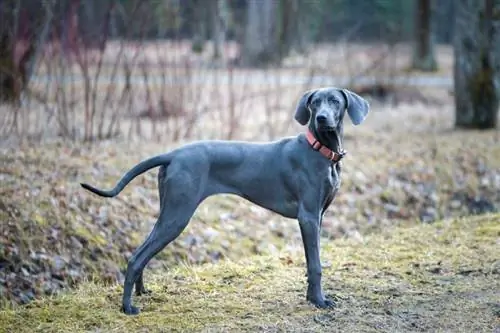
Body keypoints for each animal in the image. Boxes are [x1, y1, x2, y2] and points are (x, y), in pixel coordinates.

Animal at [80, 85, 370, 314]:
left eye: (334, 101)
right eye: (314, 102)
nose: (322, 118)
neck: (320, 150)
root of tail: (173, 154)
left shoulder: (319, 216)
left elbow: (312, 263)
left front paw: (312, 298)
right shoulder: (308, 217)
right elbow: (316, 264)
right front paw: (319, 301)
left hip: (169, 210)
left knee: (142, 252)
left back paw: (142, 292)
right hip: (178, 214)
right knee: (136, 258)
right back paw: (127, 307)